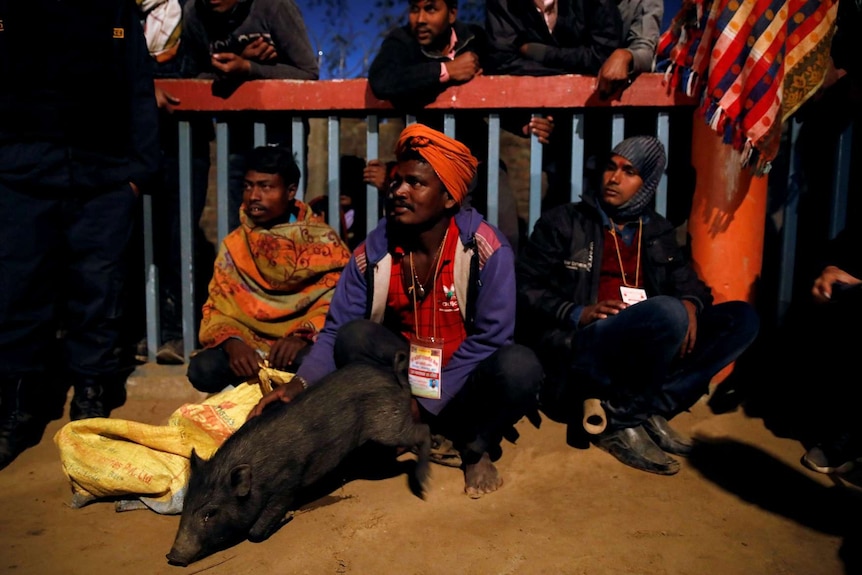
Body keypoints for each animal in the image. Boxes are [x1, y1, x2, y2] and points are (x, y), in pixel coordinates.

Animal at [165, 356, 432, 568]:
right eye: (185, 505)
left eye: (210, 513)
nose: (172, 557)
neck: (257, 472)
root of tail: (397, 378)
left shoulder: (287, 484)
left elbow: (255, 532)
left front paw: (288, 516)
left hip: (389, 428)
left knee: (423, 431)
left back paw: (423, 485)